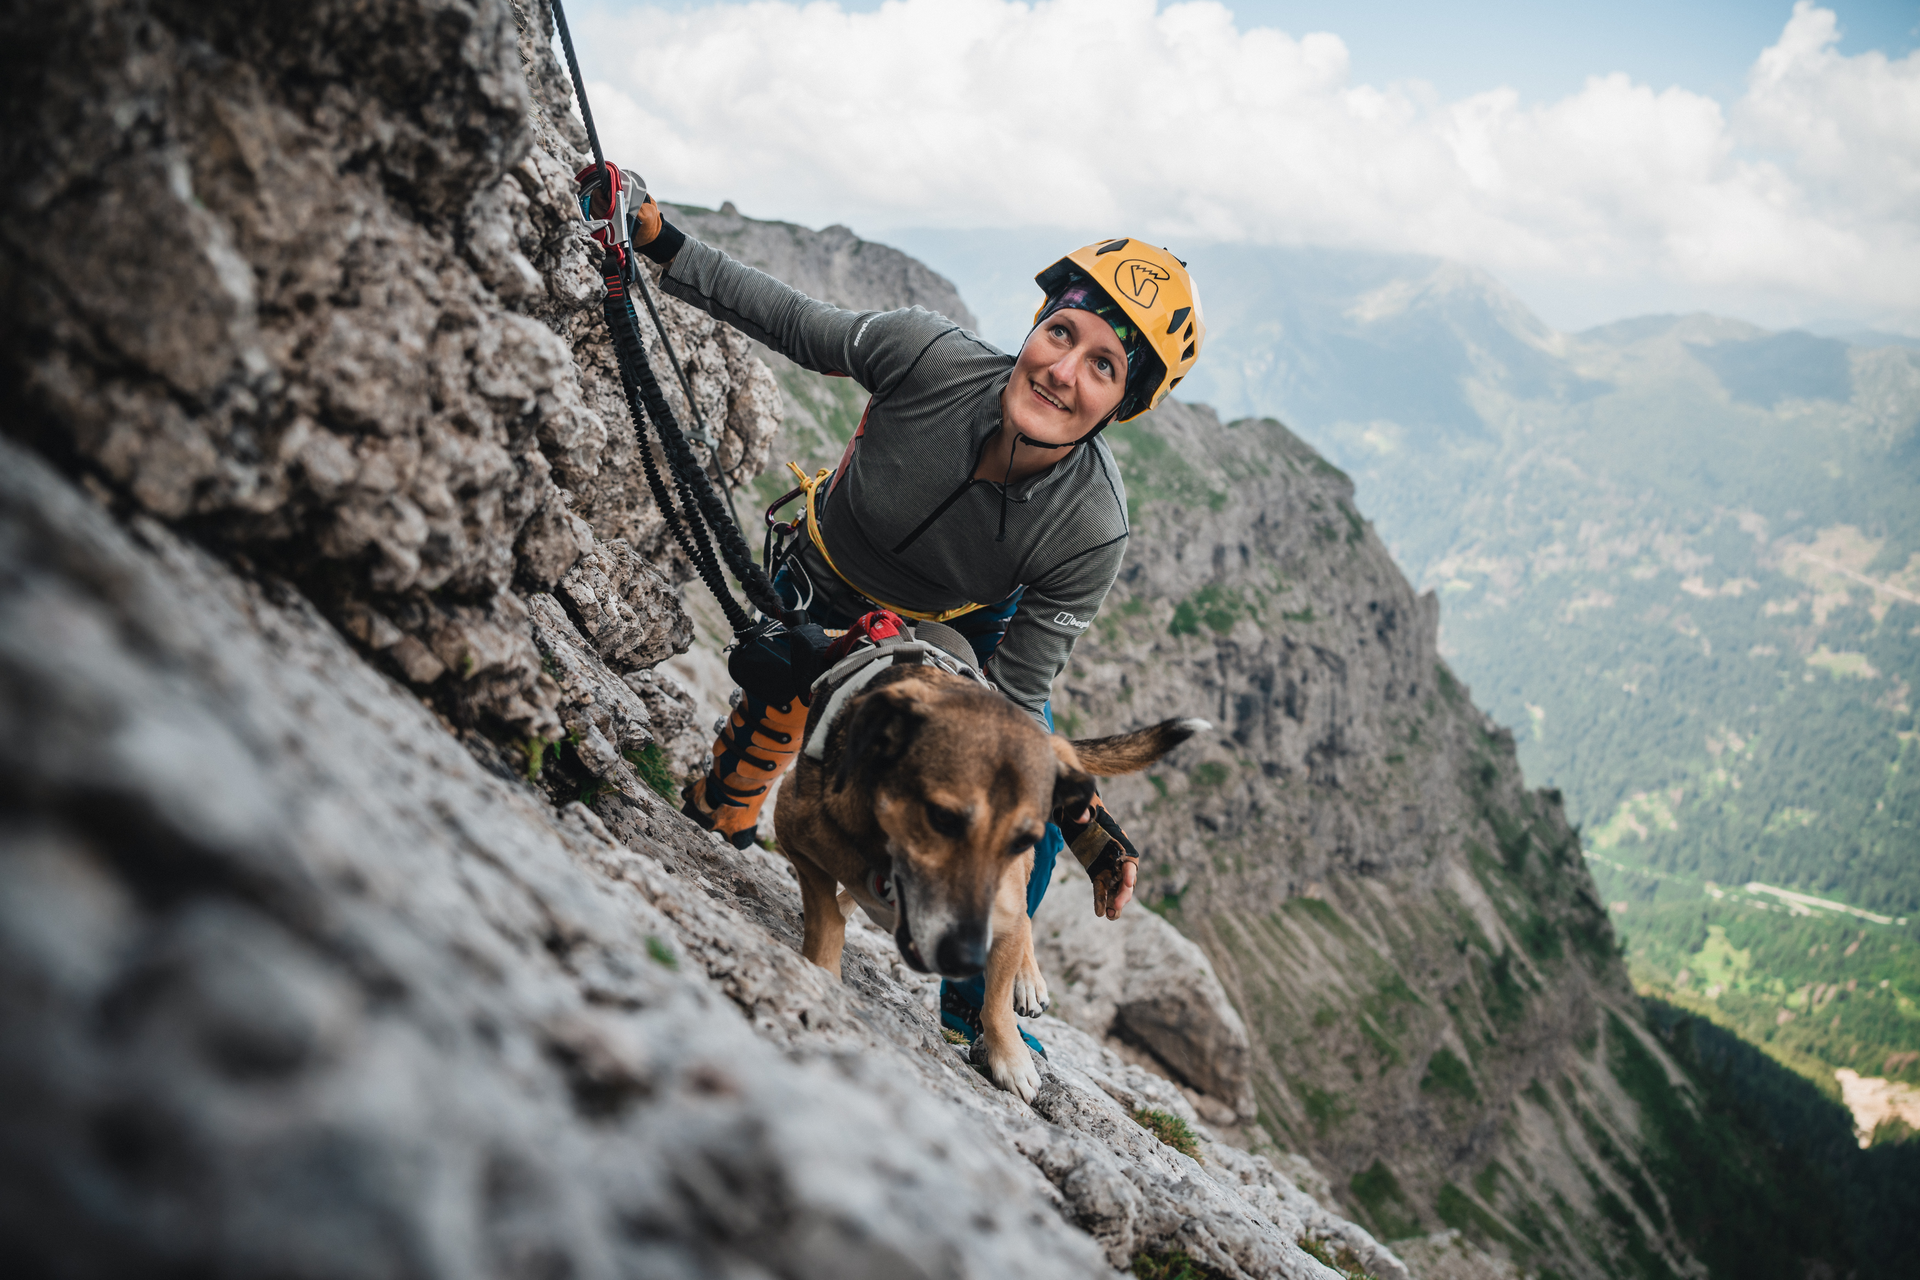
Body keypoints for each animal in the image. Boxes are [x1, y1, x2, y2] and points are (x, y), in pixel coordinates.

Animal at [768, 660, 1198, 1105]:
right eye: (942, 817)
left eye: (1020, 838)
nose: (964, 958)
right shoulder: (795, 833)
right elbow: (825, 920)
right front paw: (821, 972)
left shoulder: (1002, 917)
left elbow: (995, 1001)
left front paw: (1011, 1059)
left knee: (1023, 921)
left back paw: (1027, 981)